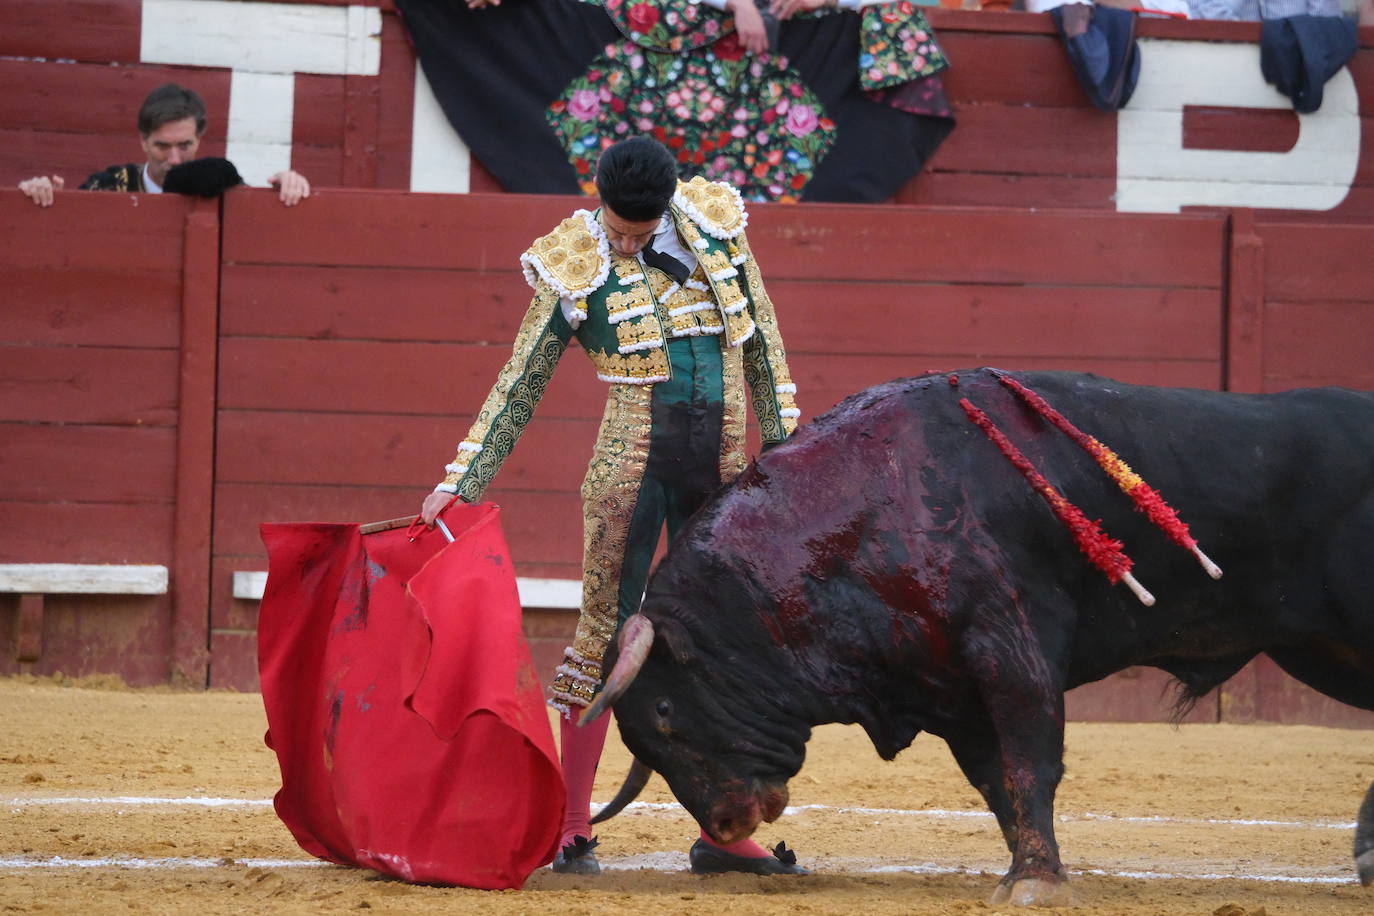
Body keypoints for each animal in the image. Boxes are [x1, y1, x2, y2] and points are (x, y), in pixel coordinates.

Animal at [585, 368, 1374, 906]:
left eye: (665, 710)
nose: (724, 823)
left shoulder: (1010, 648)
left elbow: (1030, 763)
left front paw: (1036, 885)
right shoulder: (950, 690)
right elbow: (997, 781)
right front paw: (1028, 870)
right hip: (1323, 652)